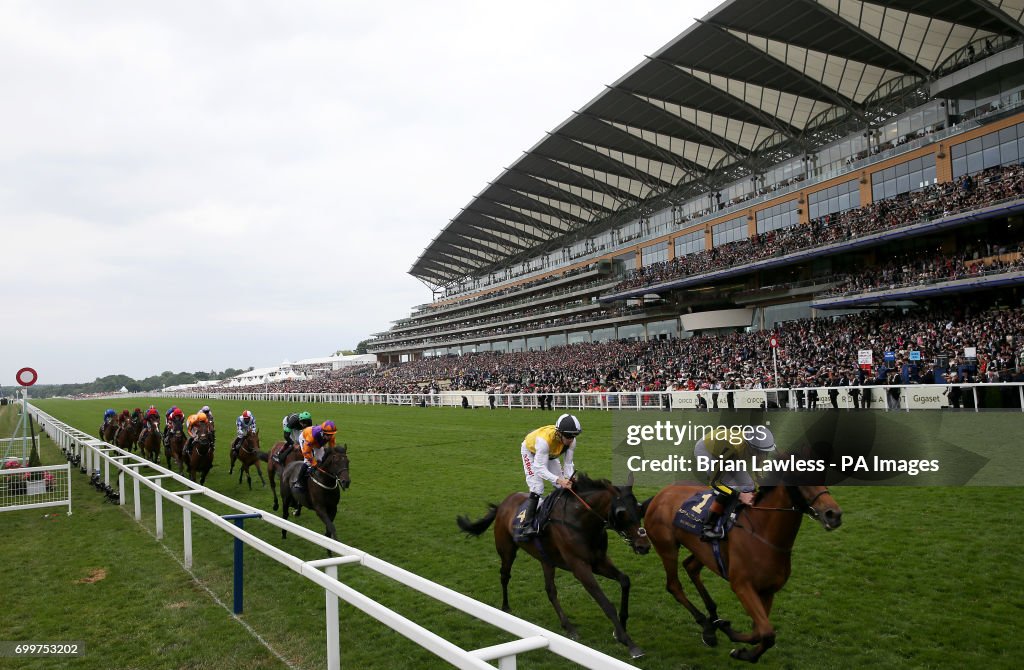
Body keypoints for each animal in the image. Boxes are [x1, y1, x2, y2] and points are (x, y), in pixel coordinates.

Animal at [456, 475, 647, 659]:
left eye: (639, 508)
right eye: (621, 513)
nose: (644, 546)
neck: (581, 521)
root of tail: (503, 503)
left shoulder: (598, 562)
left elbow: (625, 580)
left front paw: (620, 630)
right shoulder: (580, 567)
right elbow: (606, 604)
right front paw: (631, 644)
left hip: (546, 560)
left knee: (550, 590)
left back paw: (568, 626)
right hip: (507, 550)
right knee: (505, 576)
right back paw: (506, 607)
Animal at [643, 483, 843, 667]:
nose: (834, 514)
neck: (763, 533)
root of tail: (660, 495)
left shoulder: (767, 591)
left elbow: (759, 633)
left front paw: (738, 644)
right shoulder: (742, 586)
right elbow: (767, 633)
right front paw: (741, 649)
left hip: (703, 551)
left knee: (691, 567)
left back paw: (712, 619)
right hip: (667, 549)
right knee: (674, 586)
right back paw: (707, 624)